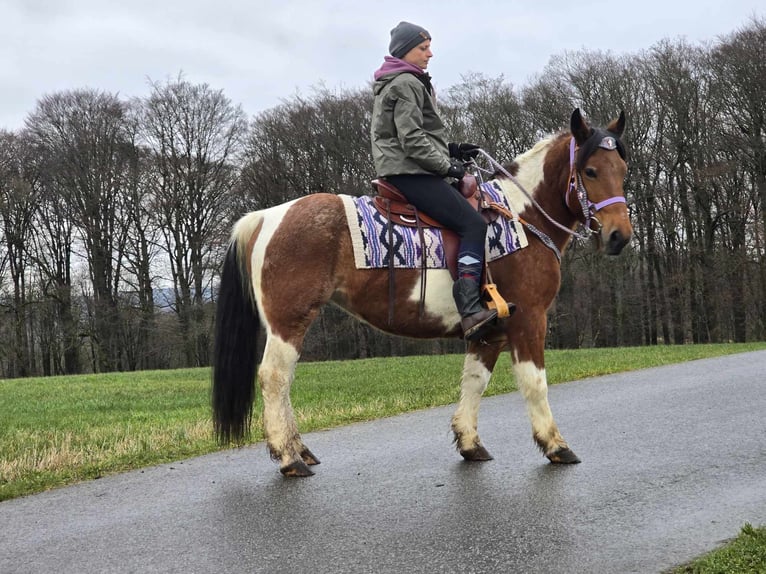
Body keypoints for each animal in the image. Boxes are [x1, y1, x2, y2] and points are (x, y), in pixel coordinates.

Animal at [213, 108, 632, 476]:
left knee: (283, 381)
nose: (619, 236)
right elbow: (535, 383)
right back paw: (289, 457)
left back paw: (299, 449)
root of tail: (267, 216)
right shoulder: (529, 319)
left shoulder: (491, 330)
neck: (522, 217)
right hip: (289, 320)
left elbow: (474, 382)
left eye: (623, 170)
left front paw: (470, 443)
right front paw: (555, 445)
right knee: (274, 377)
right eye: (590, 171)